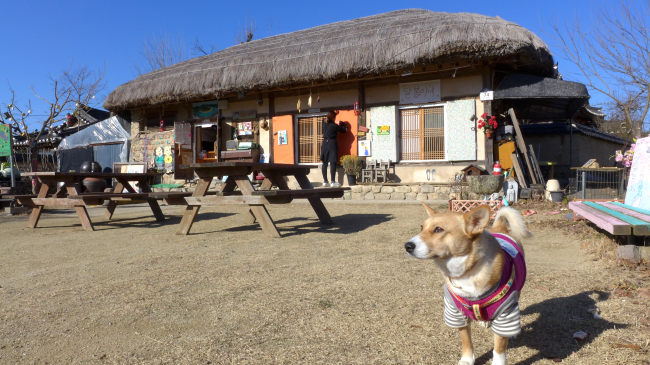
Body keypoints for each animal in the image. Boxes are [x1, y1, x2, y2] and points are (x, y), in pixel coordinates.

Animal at [404, 205, 532, 364]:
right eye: (421, 227)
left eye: (438, 229)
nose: (407, 246)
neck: (466, 274)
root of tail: (500, 228)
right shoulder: (456, 313)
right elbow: (466, 340)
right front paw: (467, 359)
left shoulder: (505, 314)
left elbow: (499, 348)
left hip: (517, 292)